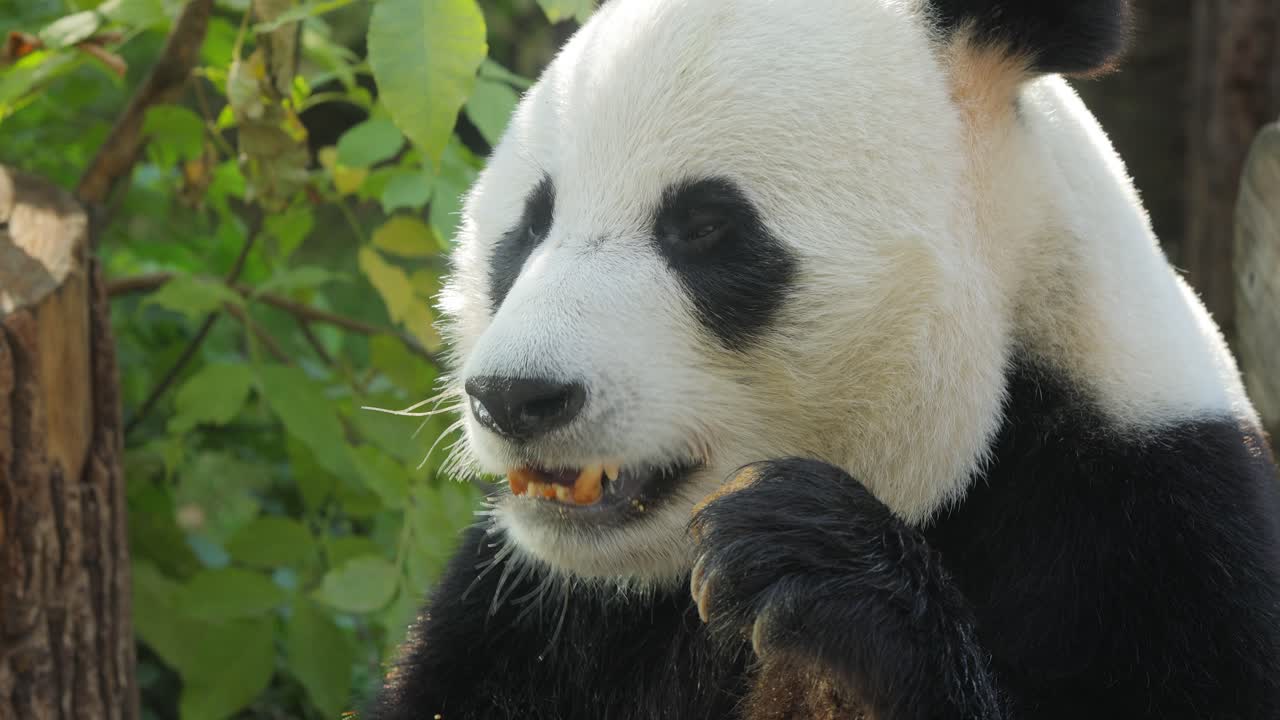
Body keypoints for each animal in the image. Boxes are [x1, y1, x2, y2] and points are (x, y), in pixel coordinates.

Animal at [367, 0, 1280, 718]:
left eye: (704, 227)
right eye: (528, 226)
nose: (516, 396)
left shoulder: (1161, 529)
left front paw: (816, 564)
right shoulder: (528, 614)